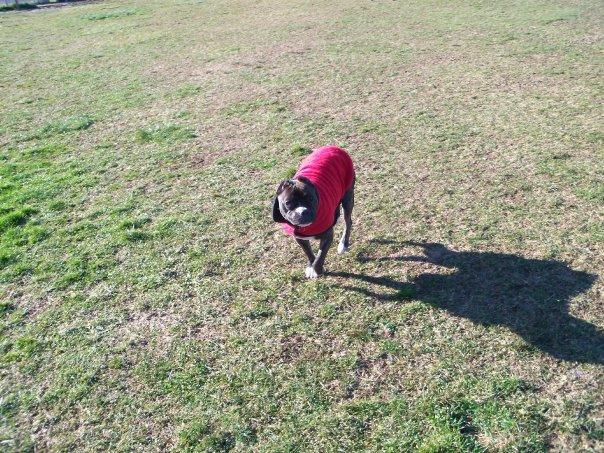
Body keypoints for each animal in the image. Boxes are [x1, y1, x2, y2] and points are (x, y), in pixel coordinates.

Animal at [272, 147, 354, 278]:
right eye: (288, 203)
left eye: (311, 198)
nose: (303, 212)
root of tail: (333, 147)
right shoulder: (300, 238)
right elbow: (309, 253)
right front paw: (311, 266)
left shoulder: (327, 236)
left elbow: (320, 257)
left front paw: (317, 270)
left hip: (348, 198)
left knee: (348, 221)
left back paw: (343, 244)